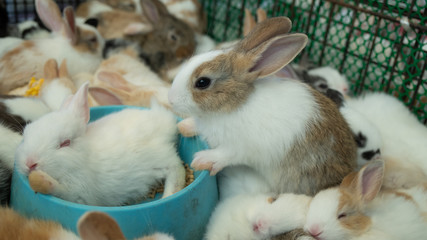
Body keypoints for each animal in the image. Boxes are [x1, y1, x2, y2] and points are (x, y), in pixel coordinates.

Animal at [15, 83, 186, 206]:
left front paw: (41, 180)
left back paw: (168, 195)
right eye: (27, 132)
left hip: (161, 158)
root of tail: (165, 120)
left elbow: (59, 190)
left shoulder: (78, 193)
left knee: (177, 169)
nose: (30, 163)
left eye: (65, 143)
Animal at [167, 17, 358, 197]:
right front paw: (183, 126)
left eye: (202, 82)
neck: (235, 103)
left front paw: (201, 160)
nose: (171, 99)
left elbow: (225, 155)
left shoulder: (238, 148)